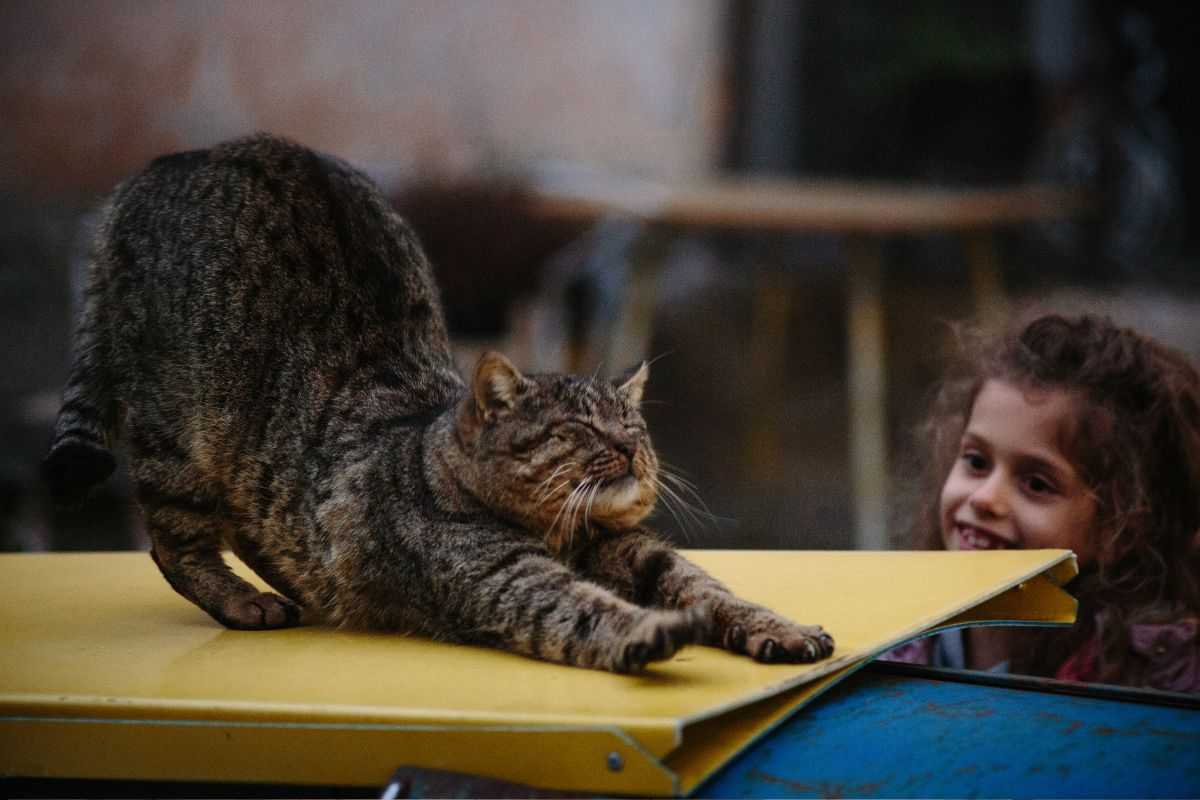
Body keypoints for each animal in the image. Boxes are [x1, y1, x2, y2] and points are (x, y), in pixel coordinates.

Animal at [46, 134, 835, 671]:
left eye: (634, 427)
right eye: (581, 428)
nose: (630, 452)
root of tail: (166, 165)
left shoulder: (641, 555)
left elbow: (712, 588)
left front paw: (780, 627)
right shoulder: (505, 579)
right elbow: (587, 609)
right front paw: (651, 631)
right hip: (177, 439)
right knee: (172, 543)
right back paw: (246, 601)